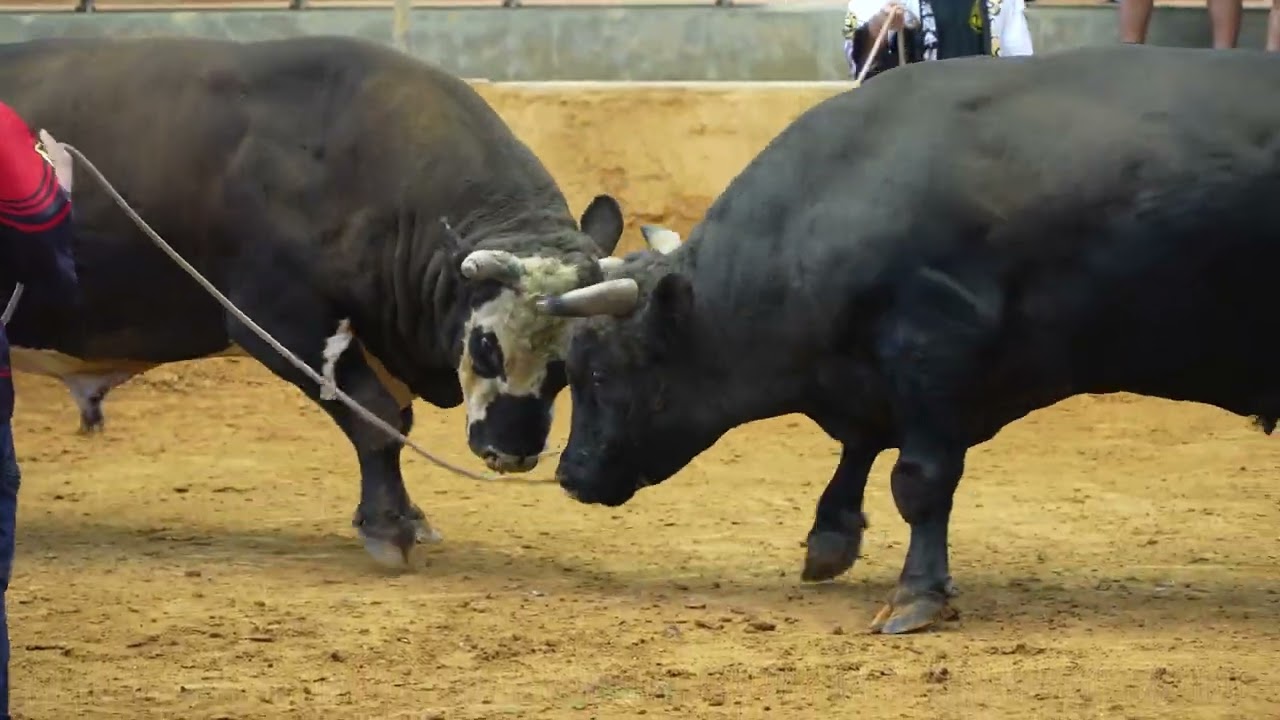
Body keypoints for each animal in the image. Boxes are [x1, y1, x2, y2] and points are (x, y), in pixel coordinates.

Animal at [0, 35, 629, 566]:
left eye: (567, 363)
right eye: (485, 345)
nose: (513, 451)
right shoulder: (280, 319)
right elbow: (377, 417)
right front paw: (388, 526)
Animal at [535, 43, 1280, 627]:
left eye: (597, 373)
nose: (569, 474)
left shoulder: (932, 353)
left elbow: (918, 478)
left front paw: (917, 594)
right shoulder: (867, 374)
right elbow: (861, 448)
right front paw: (830, 535)